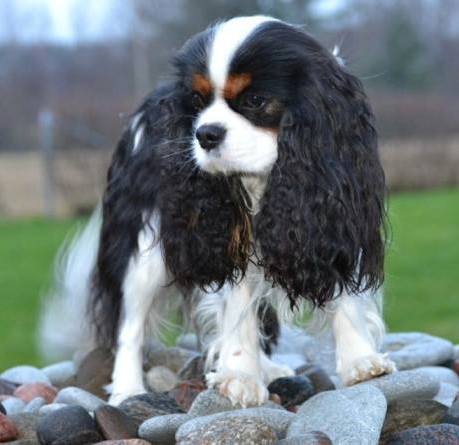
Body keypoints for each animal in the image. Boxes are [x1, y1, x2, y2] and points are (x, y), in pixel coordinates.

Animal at [41, 15, 396, 407]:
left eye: (255, 100)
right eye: (196, 100)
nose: (205, 134)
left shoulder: (333, 217)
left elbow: (343, 296)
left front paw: (360, 361)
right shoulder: (218, 234)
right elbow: (235, 303)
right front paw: (239, 374)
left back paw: (268, 367)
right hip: (146, 247)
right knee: (129, 324)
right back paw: (128, 390)